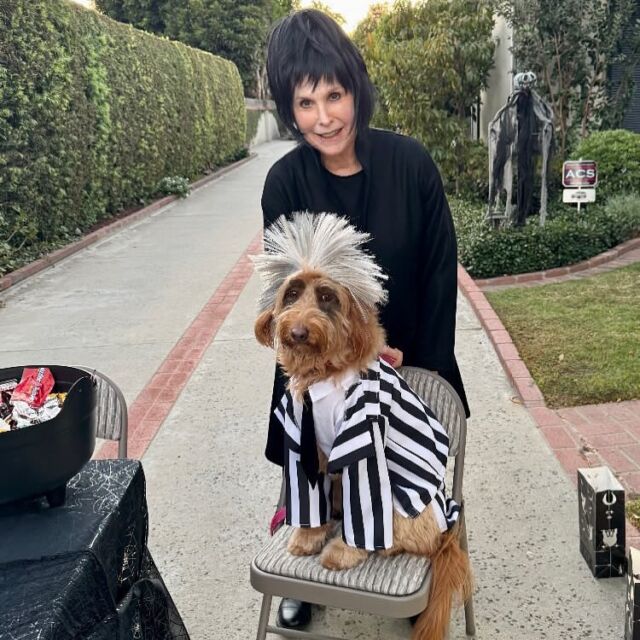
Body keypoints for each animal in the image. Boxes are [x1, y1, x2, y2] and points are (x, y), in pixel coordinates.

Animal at [254, 212, 470, 636]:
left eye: (326, 297)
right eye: (292, 293)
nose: (297, 331)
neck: (322, 376)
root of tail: (447, 523)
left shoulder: (362, 448)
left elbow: (363, 512)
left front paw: (344, 552)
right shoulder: (303, 446)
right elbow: (308, 503)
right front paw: (309, 535)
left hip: (408, 510)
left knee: (416, 541)